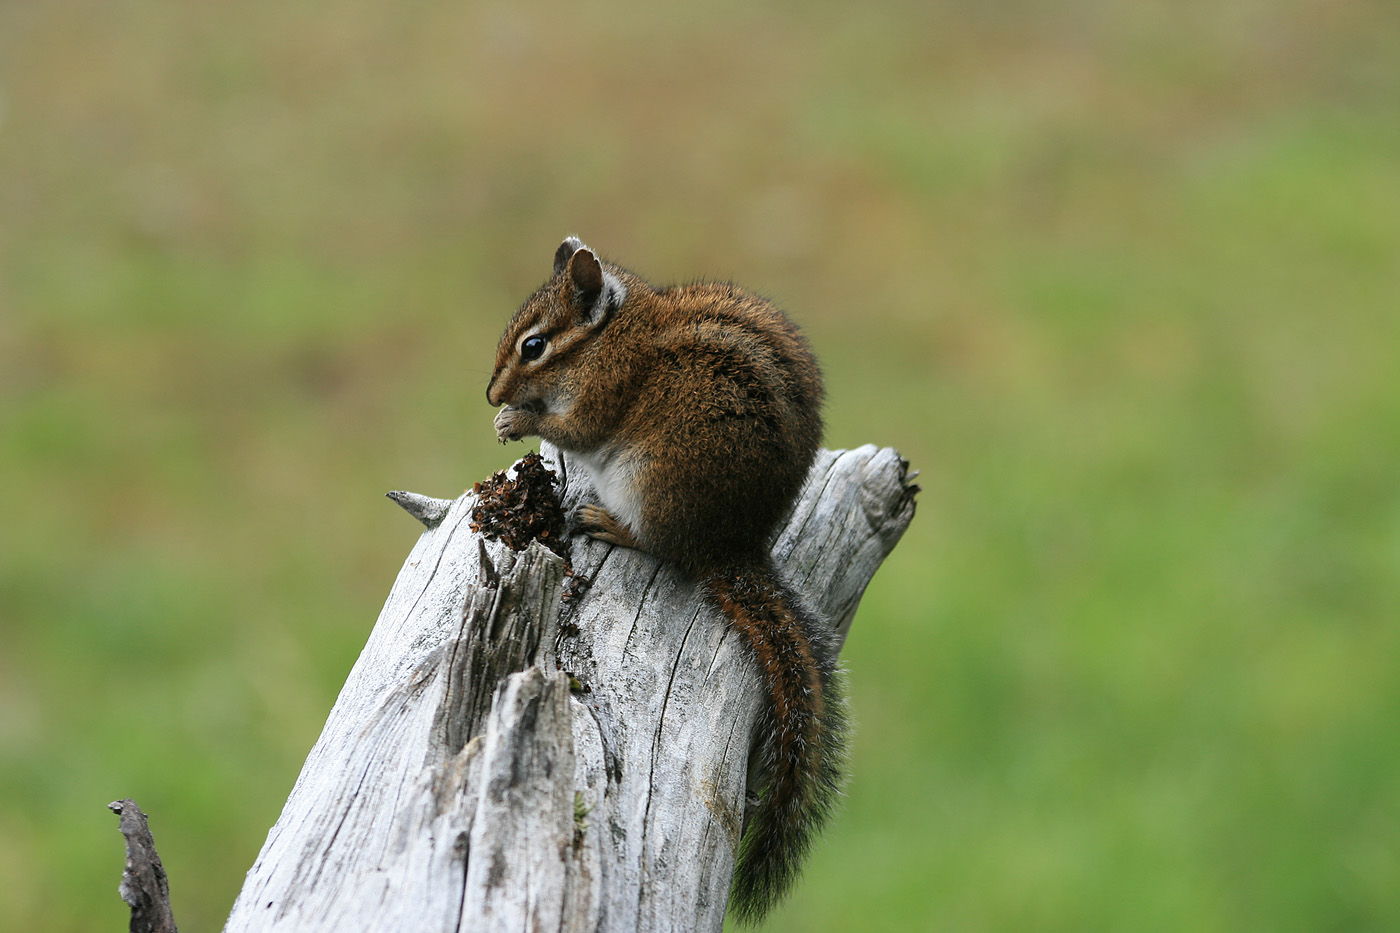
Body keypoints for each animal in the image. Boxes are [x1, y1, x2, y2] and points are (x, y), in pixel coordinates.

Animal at [486, 237, 847, 924]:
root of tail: (728, 547)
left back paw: (606, 522)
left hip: (649, 481)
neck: (609, 336)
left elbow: (573, 430)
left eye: (534, 345)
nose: (491, 396)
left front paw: (517, 422)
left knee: (658, 546)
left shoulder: (603, 393)